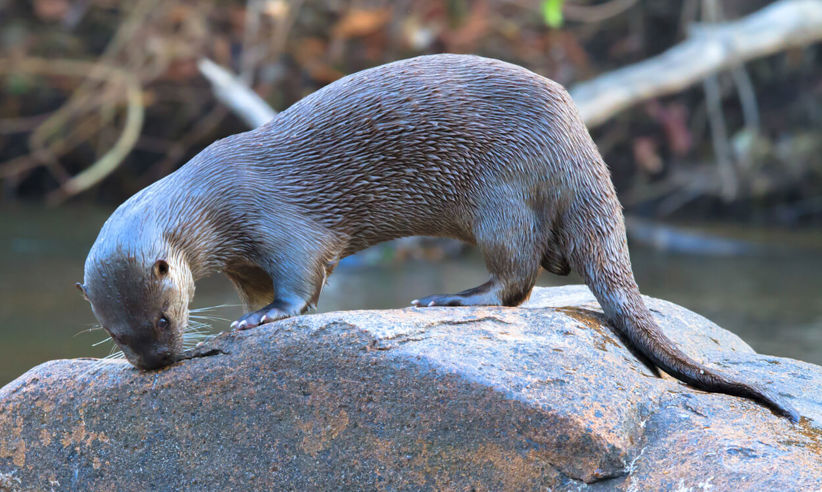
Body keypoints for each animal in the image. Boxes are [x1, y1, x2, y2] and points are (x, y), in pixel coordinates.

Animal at [78, 54, 797, 421]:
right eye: (119, 335)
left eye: (165, 319)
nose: (157, 362)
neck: (215, 202)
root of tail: (581, 147)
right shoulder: (242, 259)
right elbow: (258, 287)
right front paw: (248, 315)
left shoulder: (277, 221)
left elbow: (300, 284)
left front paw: (263, 322)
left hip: (502, 192)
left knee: (516, 278)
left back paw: (449, 299)